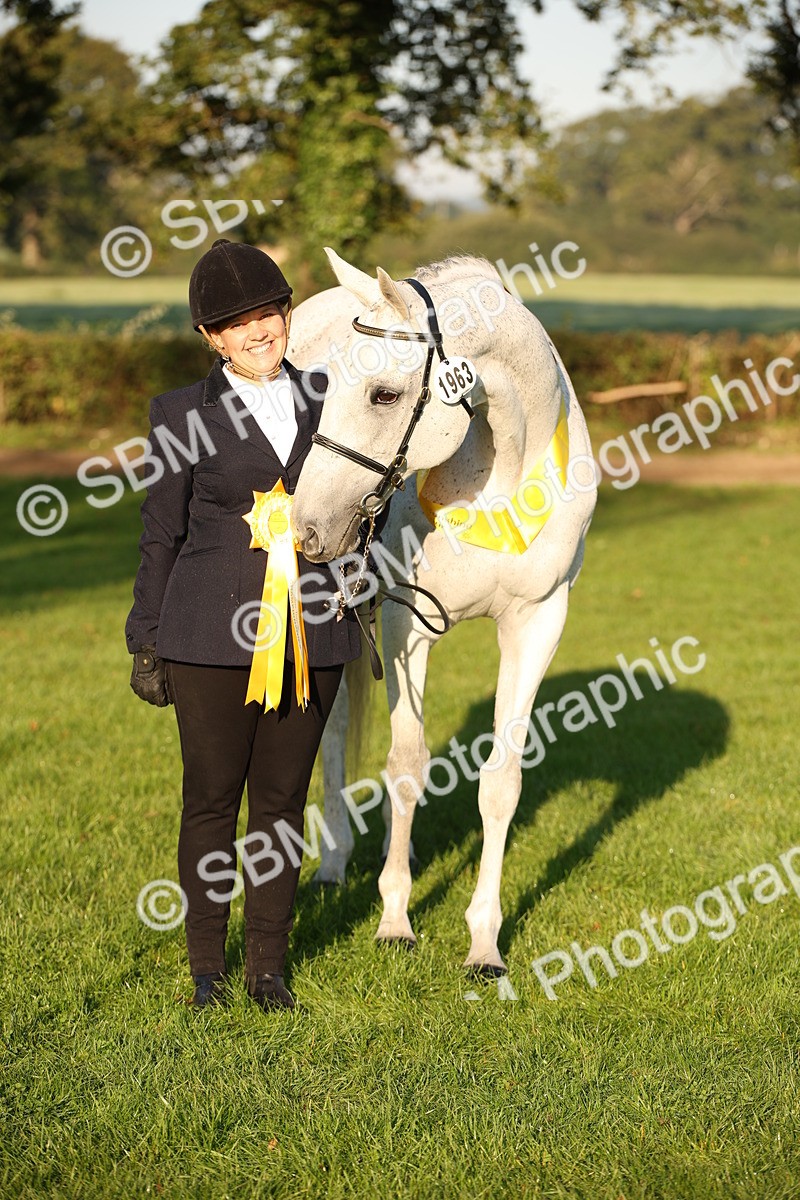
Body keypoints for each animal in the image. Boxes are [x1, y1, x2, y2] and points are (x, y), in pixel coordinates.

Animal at [289, 249, 597, 975]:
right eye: (324, 389)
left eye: (383, 394)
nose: (308, 526)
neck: (499, 474)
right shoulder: (405, 625)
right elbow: (406, 766)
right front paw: (395, 920)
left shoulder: (538, 624)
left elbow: (501, 782)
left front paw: (485, 942)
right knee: (335, 736)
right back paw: (336, 862)